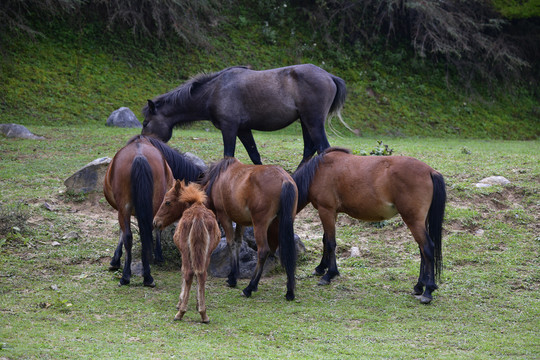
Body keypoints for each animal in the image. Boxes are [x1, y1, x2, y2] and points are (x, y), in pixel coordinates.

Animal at [104, 134, 206, 286]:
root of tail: (139, 156)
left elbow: (124, 232)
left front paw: (115, 260)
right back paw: (145, 276)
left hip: (128, 206)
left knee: (135, 234)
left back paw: (130, 276)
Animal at [152, 180, 219, 324]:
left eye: (167, 202)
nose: (155, 222)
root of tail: (198, 217)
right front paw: (198, 303)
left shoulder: (182, 251)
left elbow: (183, 272)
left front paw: (180, 302)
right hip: (206, 252)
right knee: (202, 274)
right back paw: (204, 314)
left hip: (186, 250)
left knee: (188, 273)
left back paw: (180, 313)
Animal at [200, 158, 298, 300]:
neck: (217, 180)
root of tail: (284, 179)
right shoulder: (241, 221)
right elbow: (238, 243)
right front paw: (234, 274)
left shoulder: (225, 216)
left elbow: (231, 243)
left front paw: (233, 278)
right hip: (282, 224)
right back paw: (290, 290)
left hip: (260, 225)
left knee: (263, 251)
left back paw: (250, 287)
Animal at [294, 147, 446, 304]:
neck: (318, 171)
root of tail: (430, 171)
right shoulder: (331, 213)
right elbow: (325, 240)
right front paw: (320, 268)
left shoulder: (326, 210)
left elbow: (330, 243)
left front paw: (329, 274)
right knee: (422, 250)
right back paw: (419, 286)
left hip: (414, 221)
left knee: (427, 248)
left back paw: (428, 291)